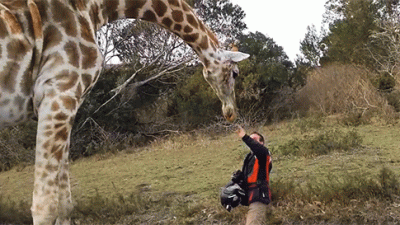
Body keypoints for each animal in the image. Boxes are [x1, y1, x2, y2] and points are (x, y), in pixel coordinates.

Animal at [0, 0, 250, 223]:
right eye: (235, 73)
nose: (231, 113)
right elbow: (45, 207)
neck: (95, 8)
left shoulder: (64, 102)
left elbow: (65, 204)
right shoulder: (60, 93)